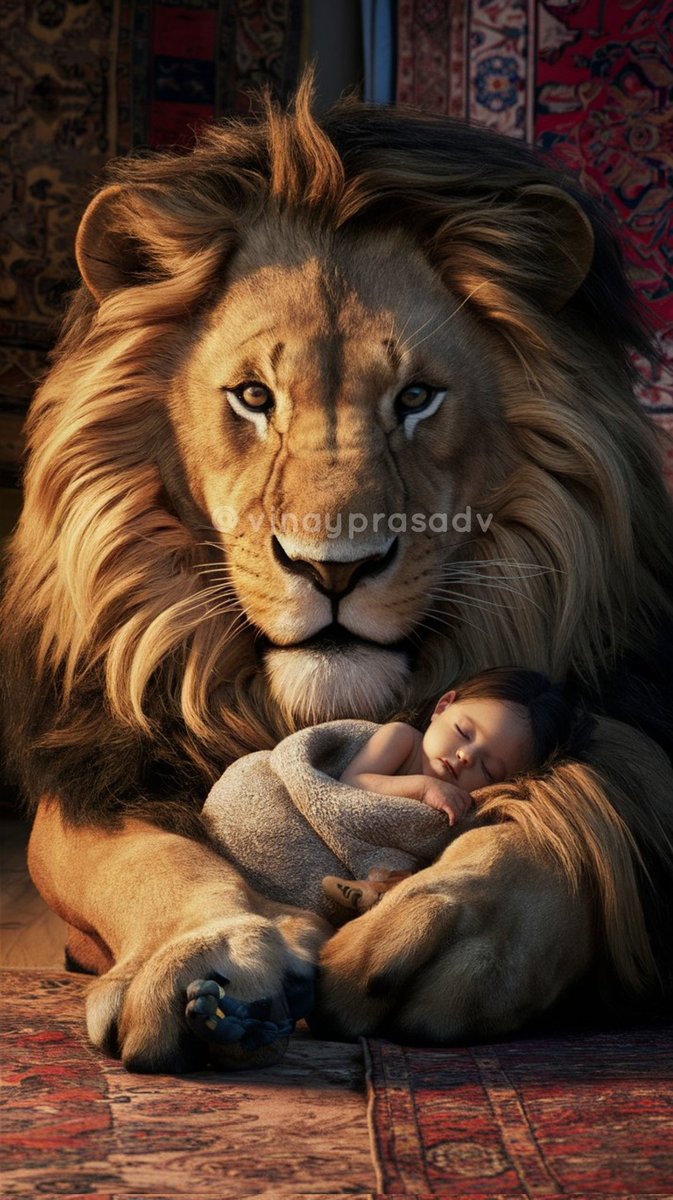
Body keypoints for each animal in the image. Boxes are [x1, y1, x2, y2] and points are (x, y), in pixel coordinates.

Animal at [2, 75, 673, 1071]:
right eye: (252, 397)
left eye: (416, 398)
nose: (332, 570)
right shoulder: (108, 769)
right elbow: (142, 856)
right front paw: (203, 958)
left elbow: (584, 805)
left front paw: (451, 931)